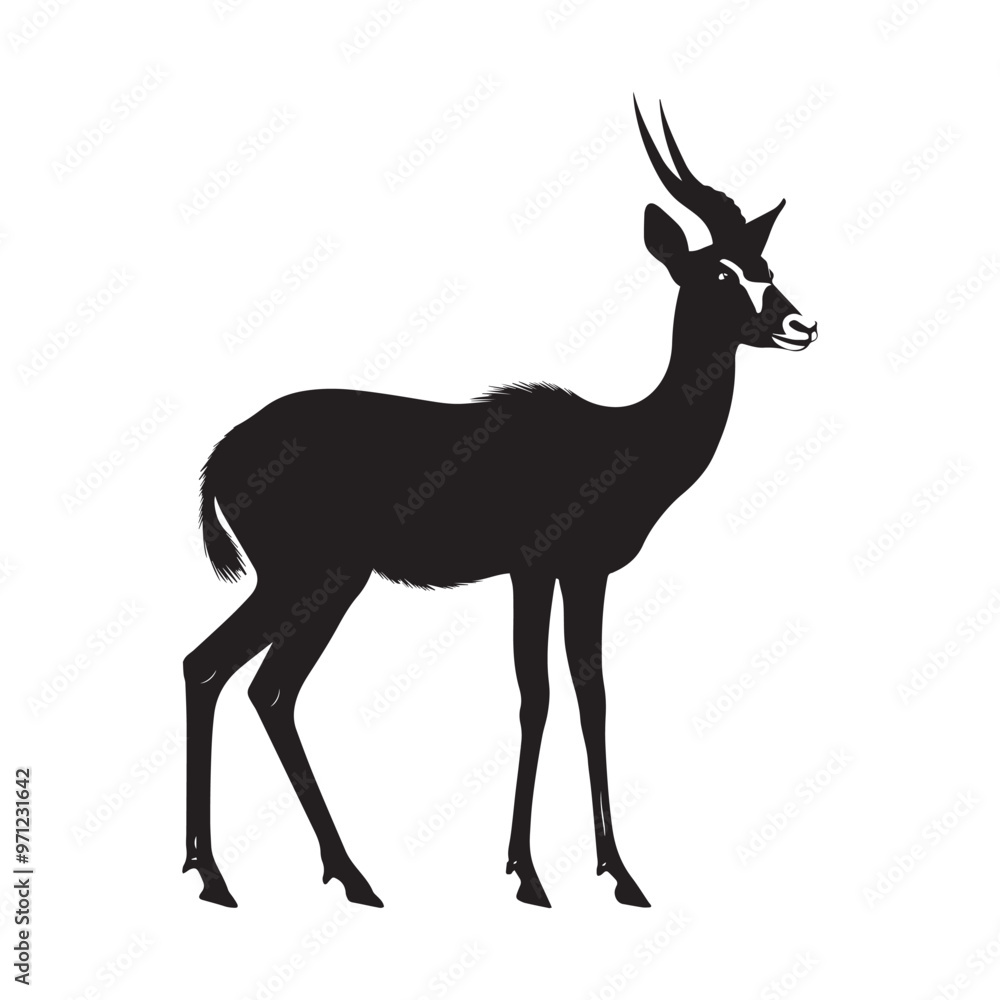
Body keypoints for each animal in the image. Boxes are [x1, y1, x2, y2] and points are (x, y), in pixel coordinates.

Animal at [183, 97, 818, 910]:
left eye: (766, 264)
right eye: (718, 270)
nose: (802, 324)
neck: (622, 435)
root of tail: (225, 450)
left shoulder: (585, 574)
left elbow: (591, 695)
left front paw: (621, 876)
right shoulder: (534, 569)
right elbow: (535, 695)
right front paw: (530, 875)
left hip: (310, 584)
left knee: (238, 679)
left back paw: (257, 877)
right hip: (318, 579)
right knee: (245, 680)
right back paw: (305, 876)